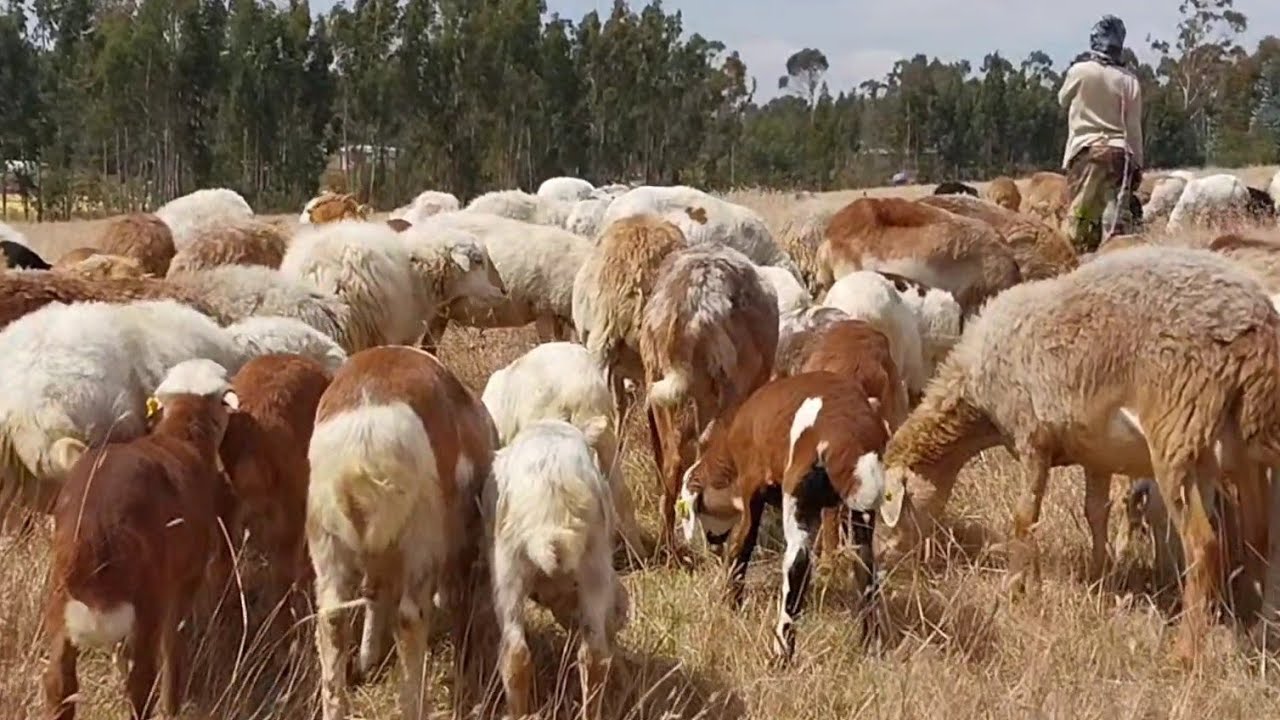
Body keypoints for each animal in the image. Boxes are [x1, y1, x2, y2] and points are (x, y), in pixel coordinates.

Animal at [41, 359, 239, 720]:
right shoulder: (184, 581)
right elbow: (174, 649)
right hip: (146, 604)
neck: (181, 435)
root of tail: (94, 533)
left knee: (59, 685)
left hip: (60, 605)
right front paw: (173, 705)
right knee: (141, 684)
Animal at [640, 245, 779, 552]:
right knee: (704, 449)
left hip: (659, 379)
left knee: (674, 457)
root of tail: (693, 304)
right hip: (730, 383)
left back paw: (668, 547)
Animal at [678, 371, 888, 661]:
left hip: (798, 496)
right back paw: (870, 646)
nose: (712, 541)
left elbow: (742, 547)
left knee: (797, 564)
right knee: (865, 565)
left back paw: (782, 653)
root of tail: (846, 435)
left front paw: (731, 605)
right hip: (861, 509)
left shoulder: (751, 488)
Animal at [876, 246, 1280, 664]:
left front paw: (1017, 590)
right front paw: (1101, 579)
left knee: (1203, 543)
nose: (881, 560)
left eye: (887, 505)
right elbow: (1095, 513)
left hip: (1179, 429)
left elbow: (1025, 519)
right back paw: (1254, 630)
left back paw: (1185, 652)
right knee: (1261, 536)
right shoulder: (1096, 454)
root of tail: (1256, 322)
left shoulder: (1032, 437)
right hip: (1248, 450)